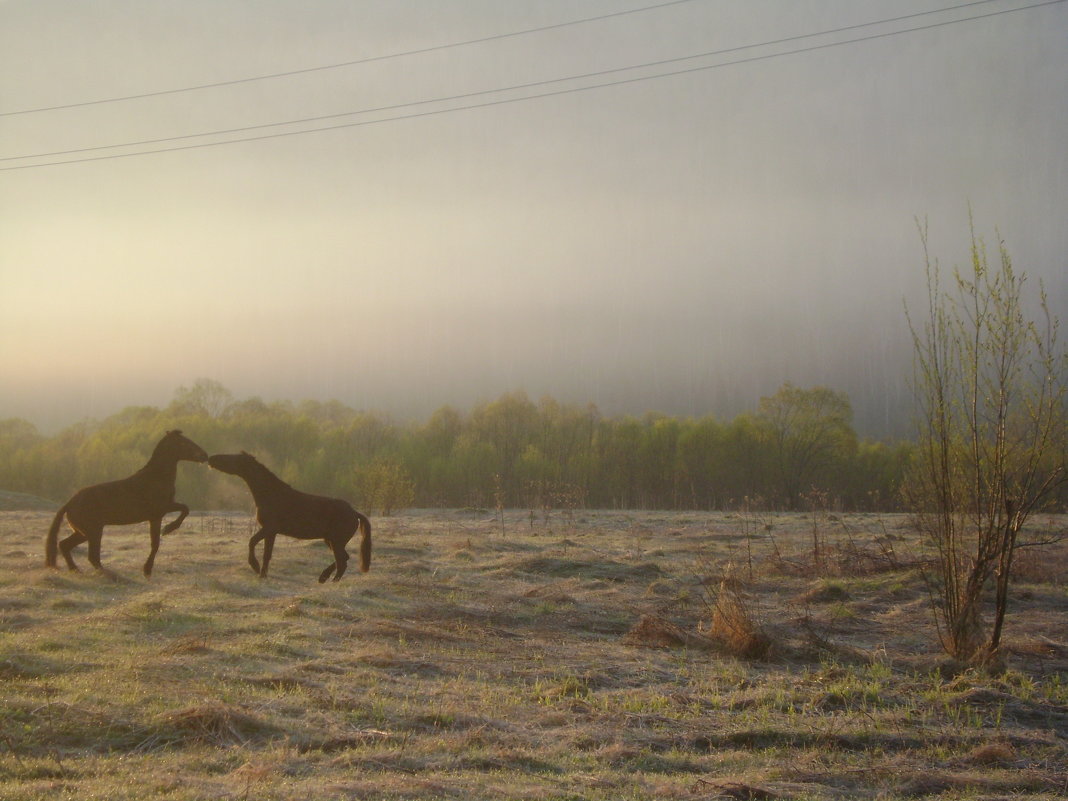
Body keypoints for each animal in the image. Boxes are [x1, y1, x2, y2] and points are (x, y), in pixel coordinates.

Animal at [45, 433, 208, 576]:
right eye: (184, 442)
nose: (204, 455)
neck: (155, 478)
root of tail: (69, 503)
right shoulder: (159, 511)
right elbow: (183, 510)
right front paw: (167, 530)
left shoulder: (158, 515)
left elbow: (157, 541)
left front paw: (147, 570)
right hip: (94, 532)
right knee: (92, 556)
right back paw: (109, 575)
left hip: (83, 533)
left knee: (64, 545)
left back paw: (76, 570)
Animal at [207, 452, 371, 585]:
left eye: (233, 458)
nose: (211, 459)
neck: (272, 494)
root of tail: (354, 512)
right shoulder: (270, 531)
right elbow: (262, 550)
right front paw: (261, 573)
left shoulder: (269, 529)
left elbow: (257, 546)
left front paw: (257, 568)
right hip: (331, 540)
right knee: (344, 558)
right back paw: (323, 578)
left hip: (336, 541)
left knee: (342, 562)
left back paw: (330, 582)